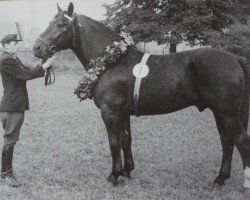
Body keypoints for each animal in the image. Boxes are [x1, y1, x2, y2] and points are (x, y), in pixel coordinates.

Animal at [33, 2, 250, 191]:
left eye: (61, 24)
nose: (37, 48)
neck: (111, 61)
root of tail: (235, 58)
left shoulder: (110, 112)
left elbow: (114, 142)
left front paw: (114, 175)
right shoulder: (123, 113)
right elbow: (126, 139)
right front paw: (127, 172)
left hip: (226, 113)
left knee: (241, 140)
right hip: (222, 114)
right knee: (227, 141)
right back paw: (219, 179)